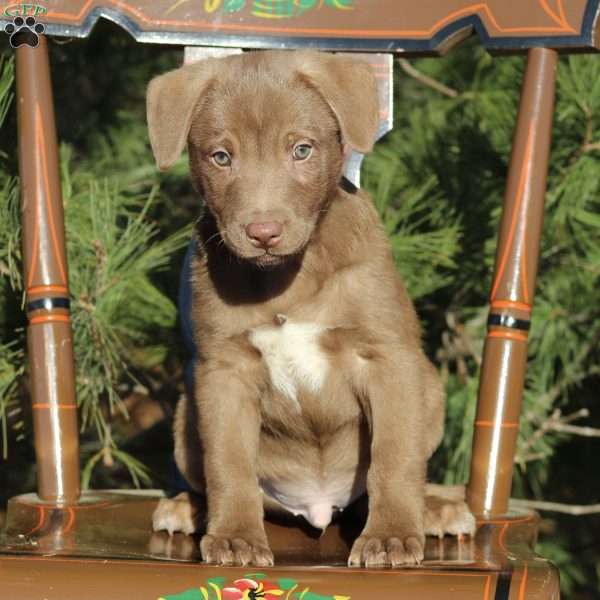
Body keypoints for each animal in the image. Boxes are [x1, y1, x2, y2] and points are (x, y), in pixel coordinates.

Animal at [146, 50, 474, 568]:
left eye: (301, 150)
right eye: (221, 157)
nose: (262, 232)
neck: (286, 276)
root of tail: (318, 505)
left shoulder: (388, 359)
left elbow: (395, 457)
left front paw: (392, 536)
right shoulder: (223, 373)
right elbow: (228, 465)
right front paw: (235, 537)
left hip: (430, 388)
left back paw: (435, 511)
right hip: (186, 415)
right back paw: (187, 508)